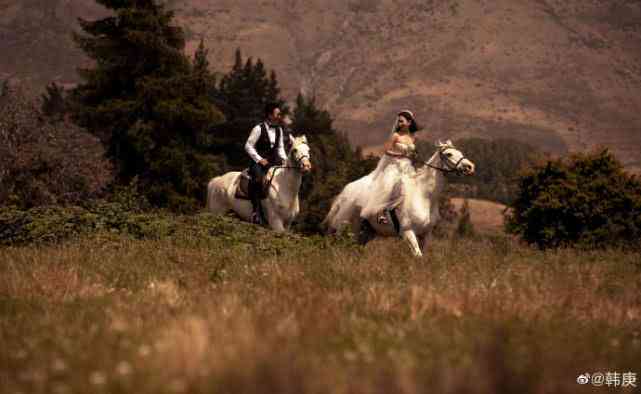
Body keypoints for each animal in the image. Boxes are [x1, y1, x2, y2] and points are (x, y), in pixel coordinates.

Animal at [324, 140, 476, 258]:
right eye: (449, 154)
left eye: (459, 152)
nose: (470, 167)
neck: (424, 196)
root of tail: (345, 192)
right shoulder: (408, 232)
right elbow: (418, 255)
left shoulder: (426, 234)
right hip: (346, 228)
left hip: (366, 232)